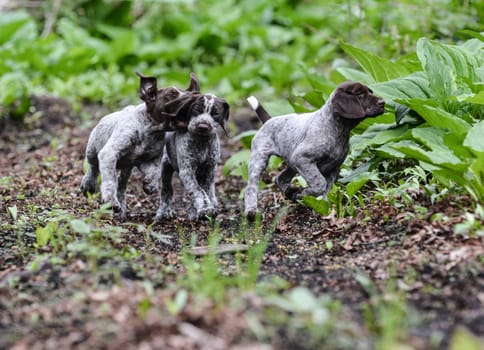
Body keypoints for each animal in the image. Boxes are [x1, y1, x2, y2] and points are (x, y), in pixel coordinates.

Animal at [81, 72, 200, 217]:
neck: (150, 130)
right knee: (93, 167)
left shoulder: (148, 160)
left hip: (127, 168)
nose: (195, 94)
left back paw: (122, 208)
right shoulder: (109, 153)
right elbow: (110, 180)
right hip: (92, 150)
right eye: (171, 95)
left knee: (121, 187)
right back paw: (88, 184)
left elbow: (155, 171)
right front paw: (110, 200)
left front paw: (150, 185)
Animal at [246, 81, 386, 219]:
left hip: (292, 162)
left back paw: (290, 191)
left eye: (370, 91)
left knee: (280, 178)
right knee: (251, 188)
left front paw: (322, 206)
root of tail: (269, 120)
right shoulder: (303, 159)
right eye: (360, 93)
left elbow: (326, 189)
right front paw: (304, 193)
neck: (338, 130)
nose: (383, 102)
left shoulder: (333, 169)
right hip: (260, 160)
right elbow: (320, 183)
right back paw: (251, 211)